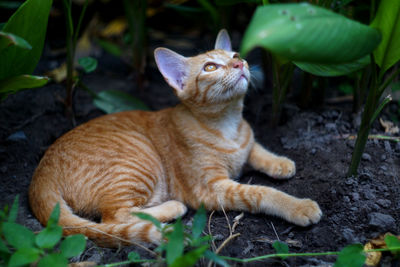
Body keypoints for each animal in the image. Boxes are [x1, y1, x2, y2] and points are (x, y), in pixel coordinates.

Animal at [28, 29, 322, 247]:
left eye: (236, 54)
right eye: (210, 67)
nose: (239, 63)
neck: (228, 125)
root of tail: (40, 176)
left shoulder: (245, 144)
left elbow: (255, 148)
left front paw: (280, 162)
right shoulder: (211, 189)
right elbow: (260, 192)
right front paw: (297, 206)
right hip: (139, 161)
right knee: (112, 219)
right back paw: (172, 212)